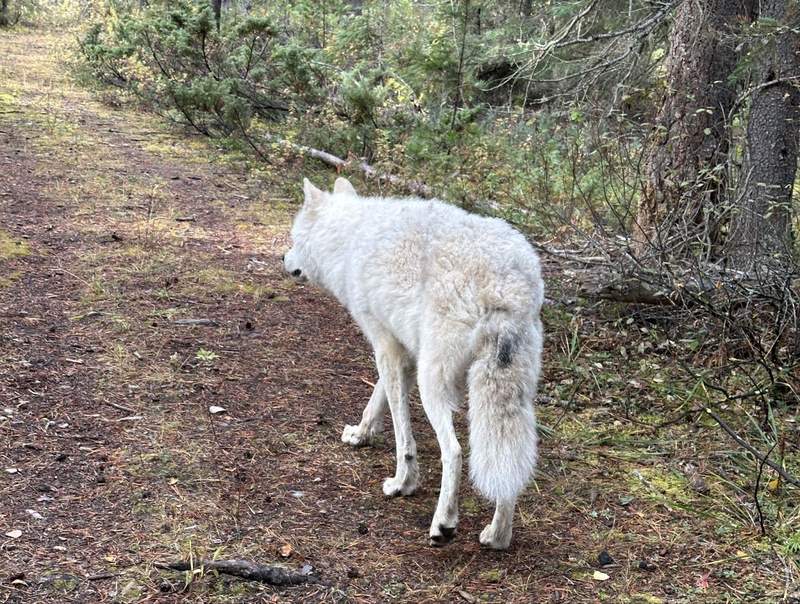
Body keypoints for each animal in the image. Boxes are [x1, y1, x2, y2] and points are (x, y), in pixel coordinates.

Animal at [283, 177, 544, 549]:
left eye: (293, 238)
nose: (284, 260)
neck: (350, 239)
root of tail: (506, 285)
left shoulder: (386, 349)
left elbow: (402, 434)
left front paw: (402, 483)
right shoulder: (401, 351)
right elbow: (375, 401)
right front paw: (360, 434)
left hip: (431, 384)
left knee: (455, 452)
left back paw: (443, 525)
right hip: (509, 396)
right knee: (508, 466)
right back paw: (497, 536)